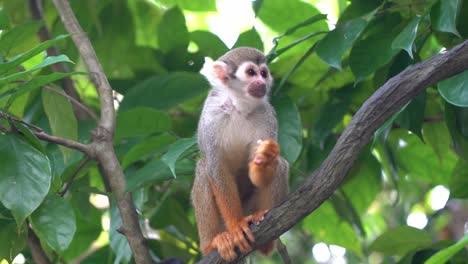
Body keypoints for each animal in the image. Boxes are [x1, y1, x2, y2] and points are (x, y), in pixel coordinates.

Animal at [191, 47, 288, 260]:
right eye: (251, 72)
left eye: (264, 73)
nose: (262, 82)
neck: (238, 106)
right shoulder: (211, 115)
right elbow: (216, 168)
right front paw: (236, 226)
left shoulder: (266, 114)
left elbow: (259, 173)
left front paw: (265, 159)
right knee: (203, 168)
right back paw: (211, 243)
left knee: (281, 164)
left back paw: (266, 239)